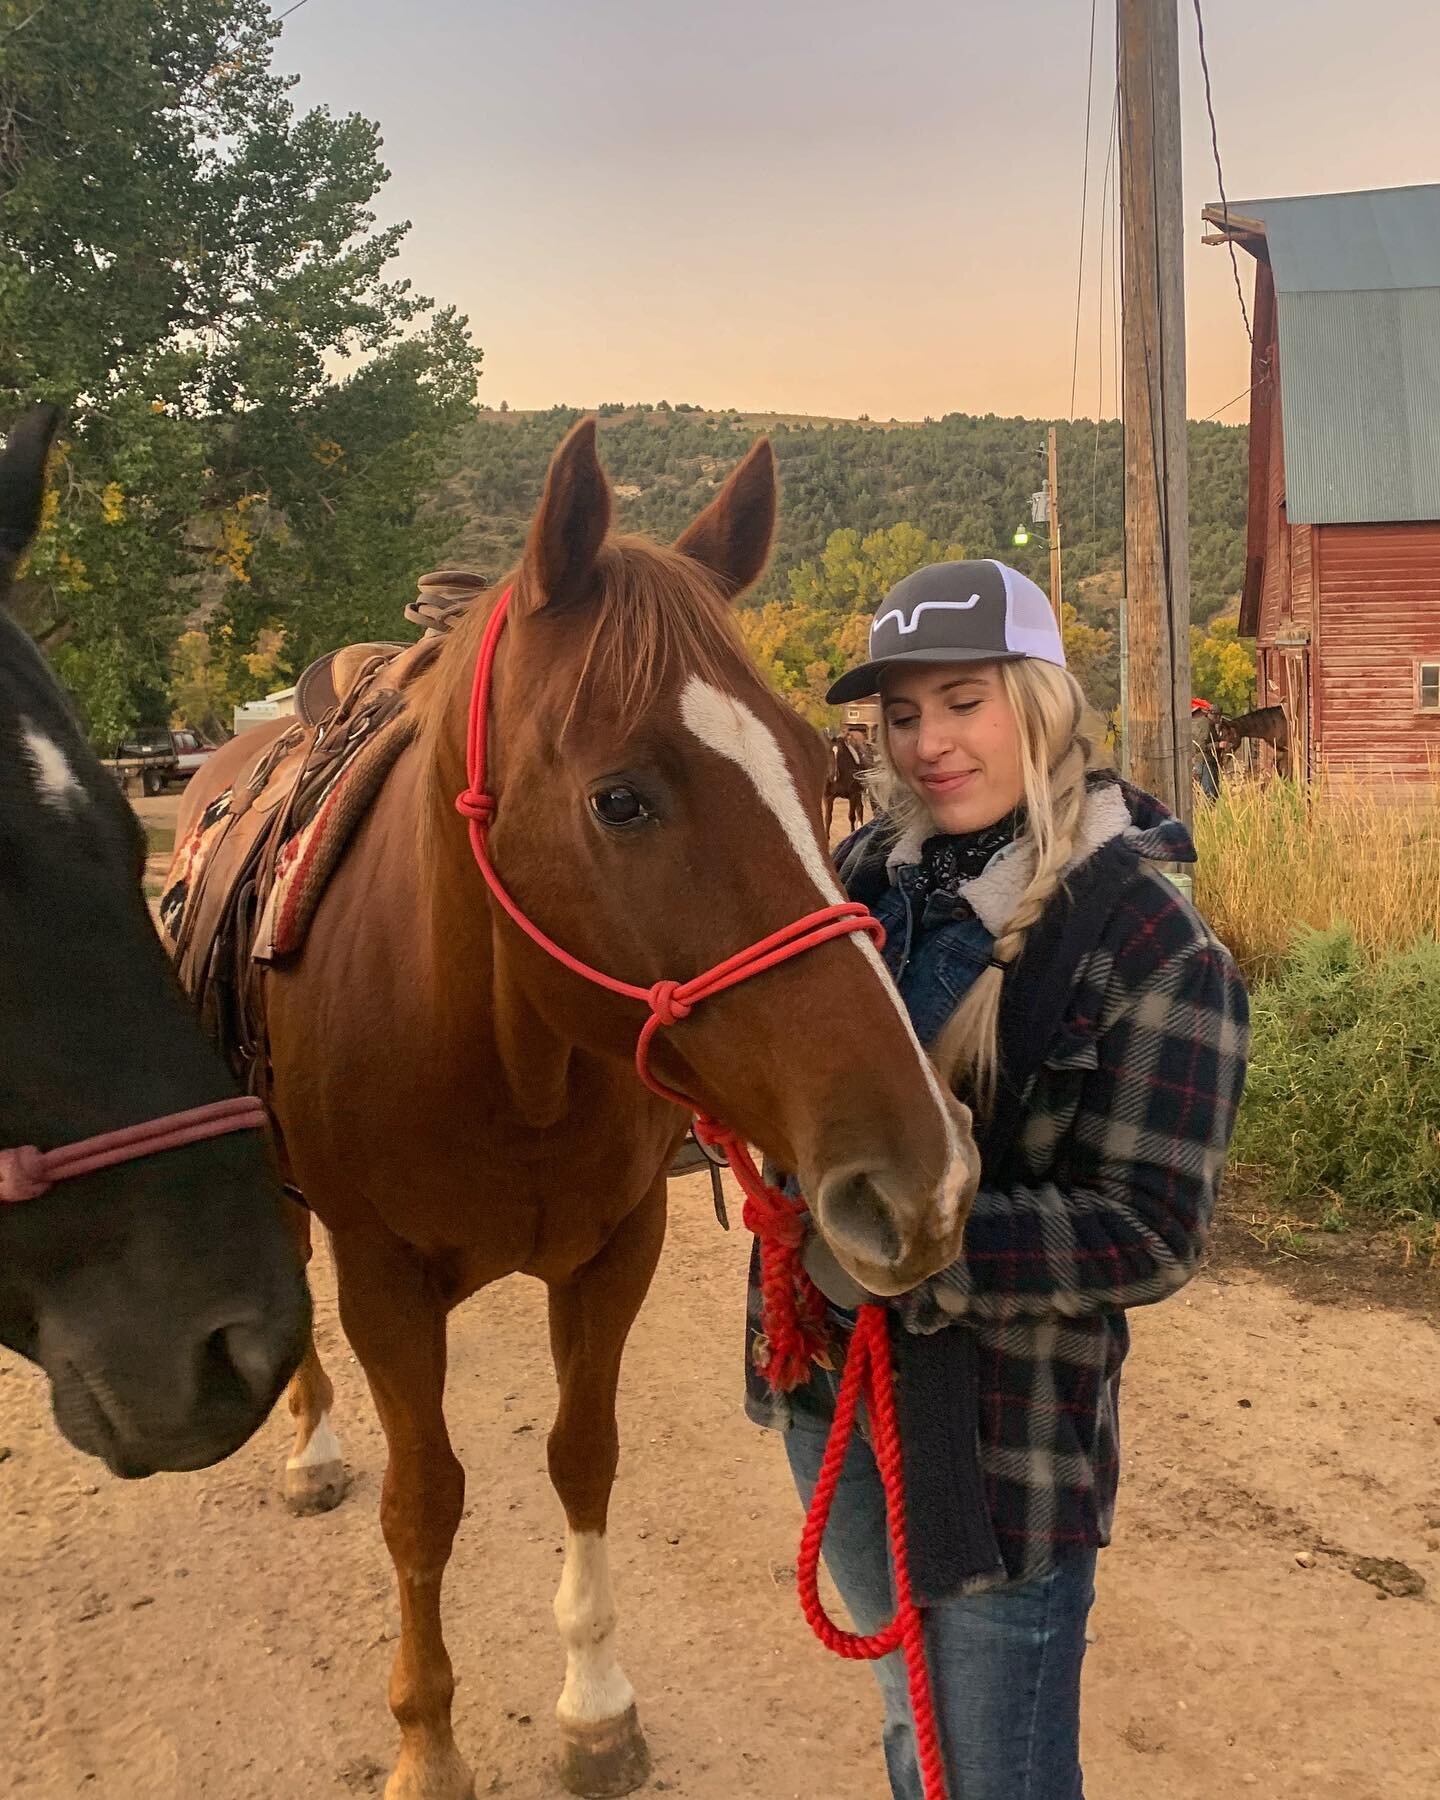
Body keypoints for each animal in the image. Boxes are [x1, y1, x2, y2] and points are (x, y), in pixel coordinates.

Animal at [169, 424, 979, 1800]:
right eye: (620, 799)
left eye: (818, 764)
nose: (921, 1181)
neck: (497, 1049)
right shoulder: (383, 1281)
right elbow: (424, 1500)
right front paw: (428, 1739)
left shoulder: (614, 1253)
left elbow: (581, 1454)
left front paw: (596, 1706)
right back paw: (312, 1448)